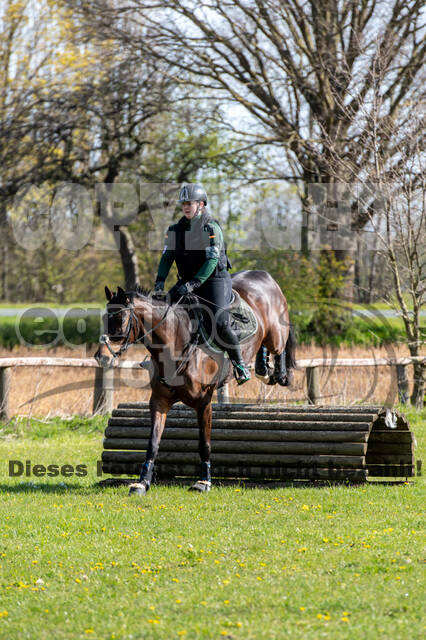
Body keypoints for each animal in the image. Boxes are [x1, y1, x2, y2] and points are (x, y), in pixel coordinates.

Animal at [94, 270, 296, 496]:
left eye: (121, 318)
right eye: (105, 318)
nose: (102, 357)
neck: (174, 344)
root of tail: (264, 275)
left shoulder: (203, 403)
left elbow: (204, 443)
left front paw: (203, 482)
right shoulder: (159, 402)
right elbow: (153, 443)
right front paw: (142, 483)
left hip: (275, 334)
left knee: (281, 345)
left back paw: (279, 374)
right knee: (264, 351)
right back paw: (263, 369)